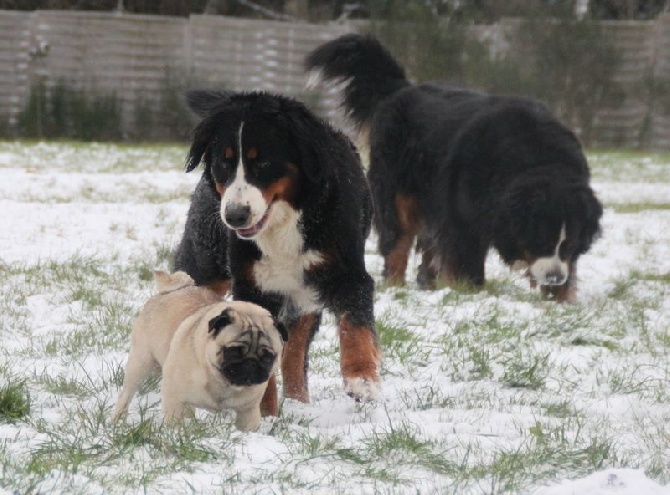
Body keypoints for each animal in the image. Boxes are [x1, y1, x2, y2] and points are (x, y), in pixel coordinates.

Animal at [113, 272, 286, 430]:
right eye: (234, 351)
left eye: (268, 357)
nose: (251, 363)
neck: (223, 383)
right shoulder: (174, 397)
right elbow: (174, 422)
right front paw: (175, 434)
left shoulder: (248, 412)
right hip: (141, 364)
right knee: (126, 394)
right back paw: (118, 420)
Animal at [172, 90, 384, 414]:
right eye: (225, 163)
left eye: (263, 163)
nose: (234, 216)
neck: (284, 223)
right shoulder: (252, 285)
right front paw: (264, 411)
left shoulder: (348, 273)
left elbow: (355, 327)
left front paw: (362, 380)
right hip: (203, 267)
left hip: (304, 297)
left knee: (295, 351)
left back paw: (299, 403)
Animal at [308, 34, 608, 302]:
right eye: (541, 240)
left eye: (569, 243)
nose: (555, 277)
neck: (536, 159)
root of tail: (402, 90)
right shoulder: (463, 214)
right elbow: (465, 255)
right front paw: (469, 290)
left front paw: (559, 299)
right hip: (396, 190)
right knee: (398, 239)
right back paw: (396, 285)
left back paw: (428, 282)